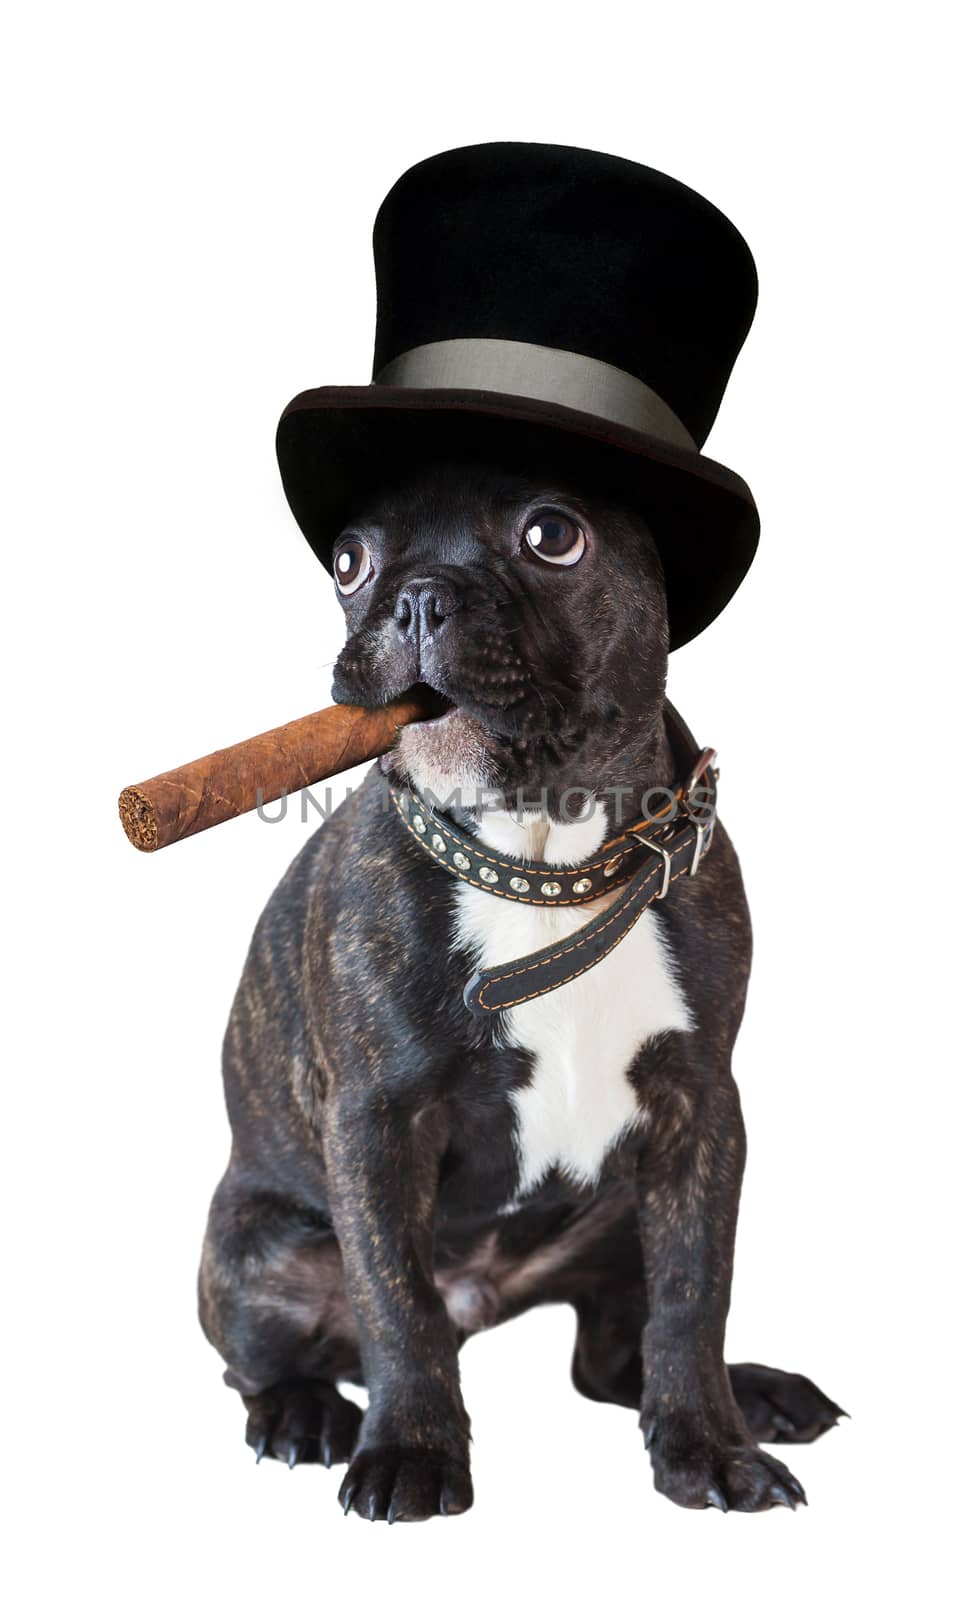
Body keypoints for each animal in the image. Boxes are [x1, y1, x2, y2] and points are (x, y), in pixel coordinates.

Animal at [198, 444, 844, 1516]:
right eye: (348, 560)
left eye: (552, 535)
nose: (416, 598)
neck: (543, 856)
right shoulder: (376, 1122)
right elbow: (396, 1301)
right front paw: (411, 1452)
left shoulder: (700, 1111)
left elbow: (692, 1293)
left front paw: (709, 1448)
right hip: (257, 1257)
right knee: (264, 1358)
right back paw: (306, 1414)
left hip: (617, 1220)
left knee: (617, 1354)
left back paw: (749, 1394)